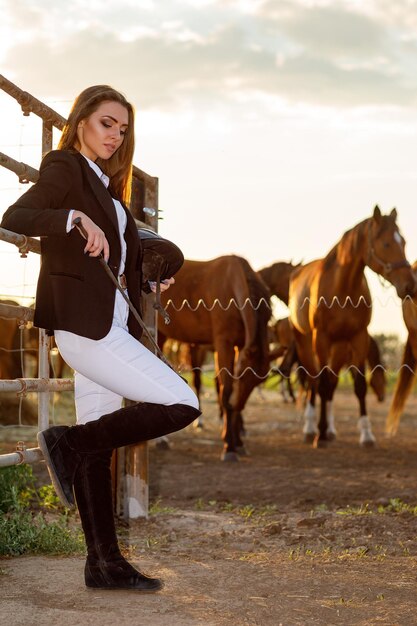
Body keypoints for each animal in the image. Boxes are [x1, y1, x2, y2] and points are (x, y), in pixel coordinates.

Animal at [158, 254, 270, 458]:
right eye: (243, 376)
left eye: (258, 382)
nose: (238, 406)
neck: (234, 285)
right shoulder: (223, 344)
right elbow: (225, 391)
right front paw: (229, 446)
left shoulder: (238, 346)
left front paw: (237, 441)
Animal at [288, 207, 414, 446]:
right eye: (386, 244)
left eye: (403, 242)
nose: (410, 285)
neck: (342, 289)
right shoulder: (321, 339)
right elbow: (322, 384)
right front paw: (319, 434)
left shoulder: (358, 337)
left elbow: (359, 386)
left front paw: (366, 434)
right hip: (306, 344)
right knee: (313, 381)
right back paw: (311, 428)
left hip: (339, 348)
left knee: (331, 382)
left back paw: (330, 429)